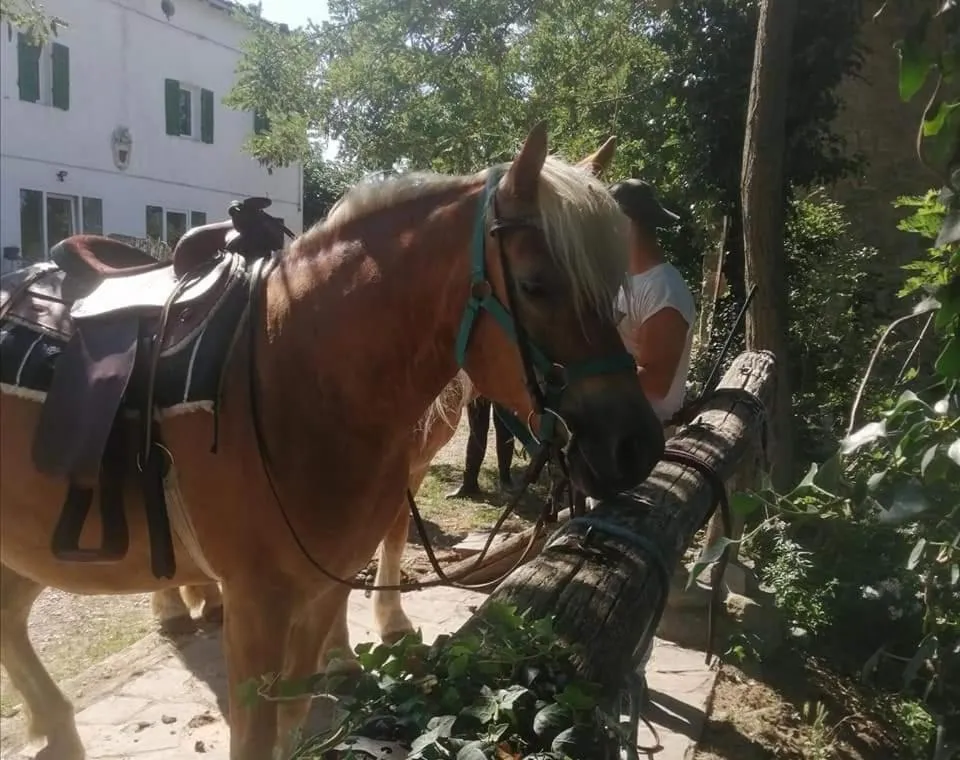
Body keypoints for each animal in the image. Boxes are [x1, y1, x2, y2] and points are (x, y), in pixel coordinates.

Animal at [0, 124, 665, 760]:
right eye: (534, 285)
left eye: (614, 289)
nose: (636, 446)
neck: (290, 374)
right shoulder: (257, 606)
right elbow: (255, 738)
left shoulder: (326, 582)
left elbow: (296, 713)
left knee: (11, 616)